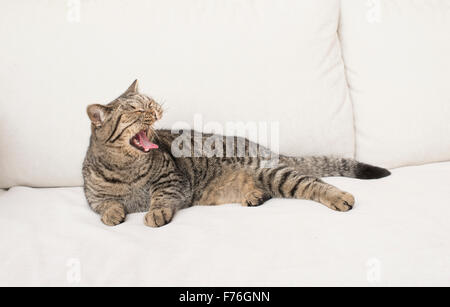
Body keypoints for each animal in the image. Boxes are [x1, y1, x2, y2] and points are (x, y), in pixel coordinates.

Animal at [81, 80, 390, 227]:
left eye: (149, 102)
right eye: (135, 109)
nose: (156, 109)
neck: (126, 170)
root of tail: (269, 149)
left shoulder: (172, 181)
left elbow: (160, 198)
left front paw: (155, 213)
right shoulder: (93, 197)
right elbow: (105, 205)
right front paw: (112, 214)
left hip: (275, 173)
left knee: (315, 183)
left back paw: (340, 197)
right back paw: (254, 196)